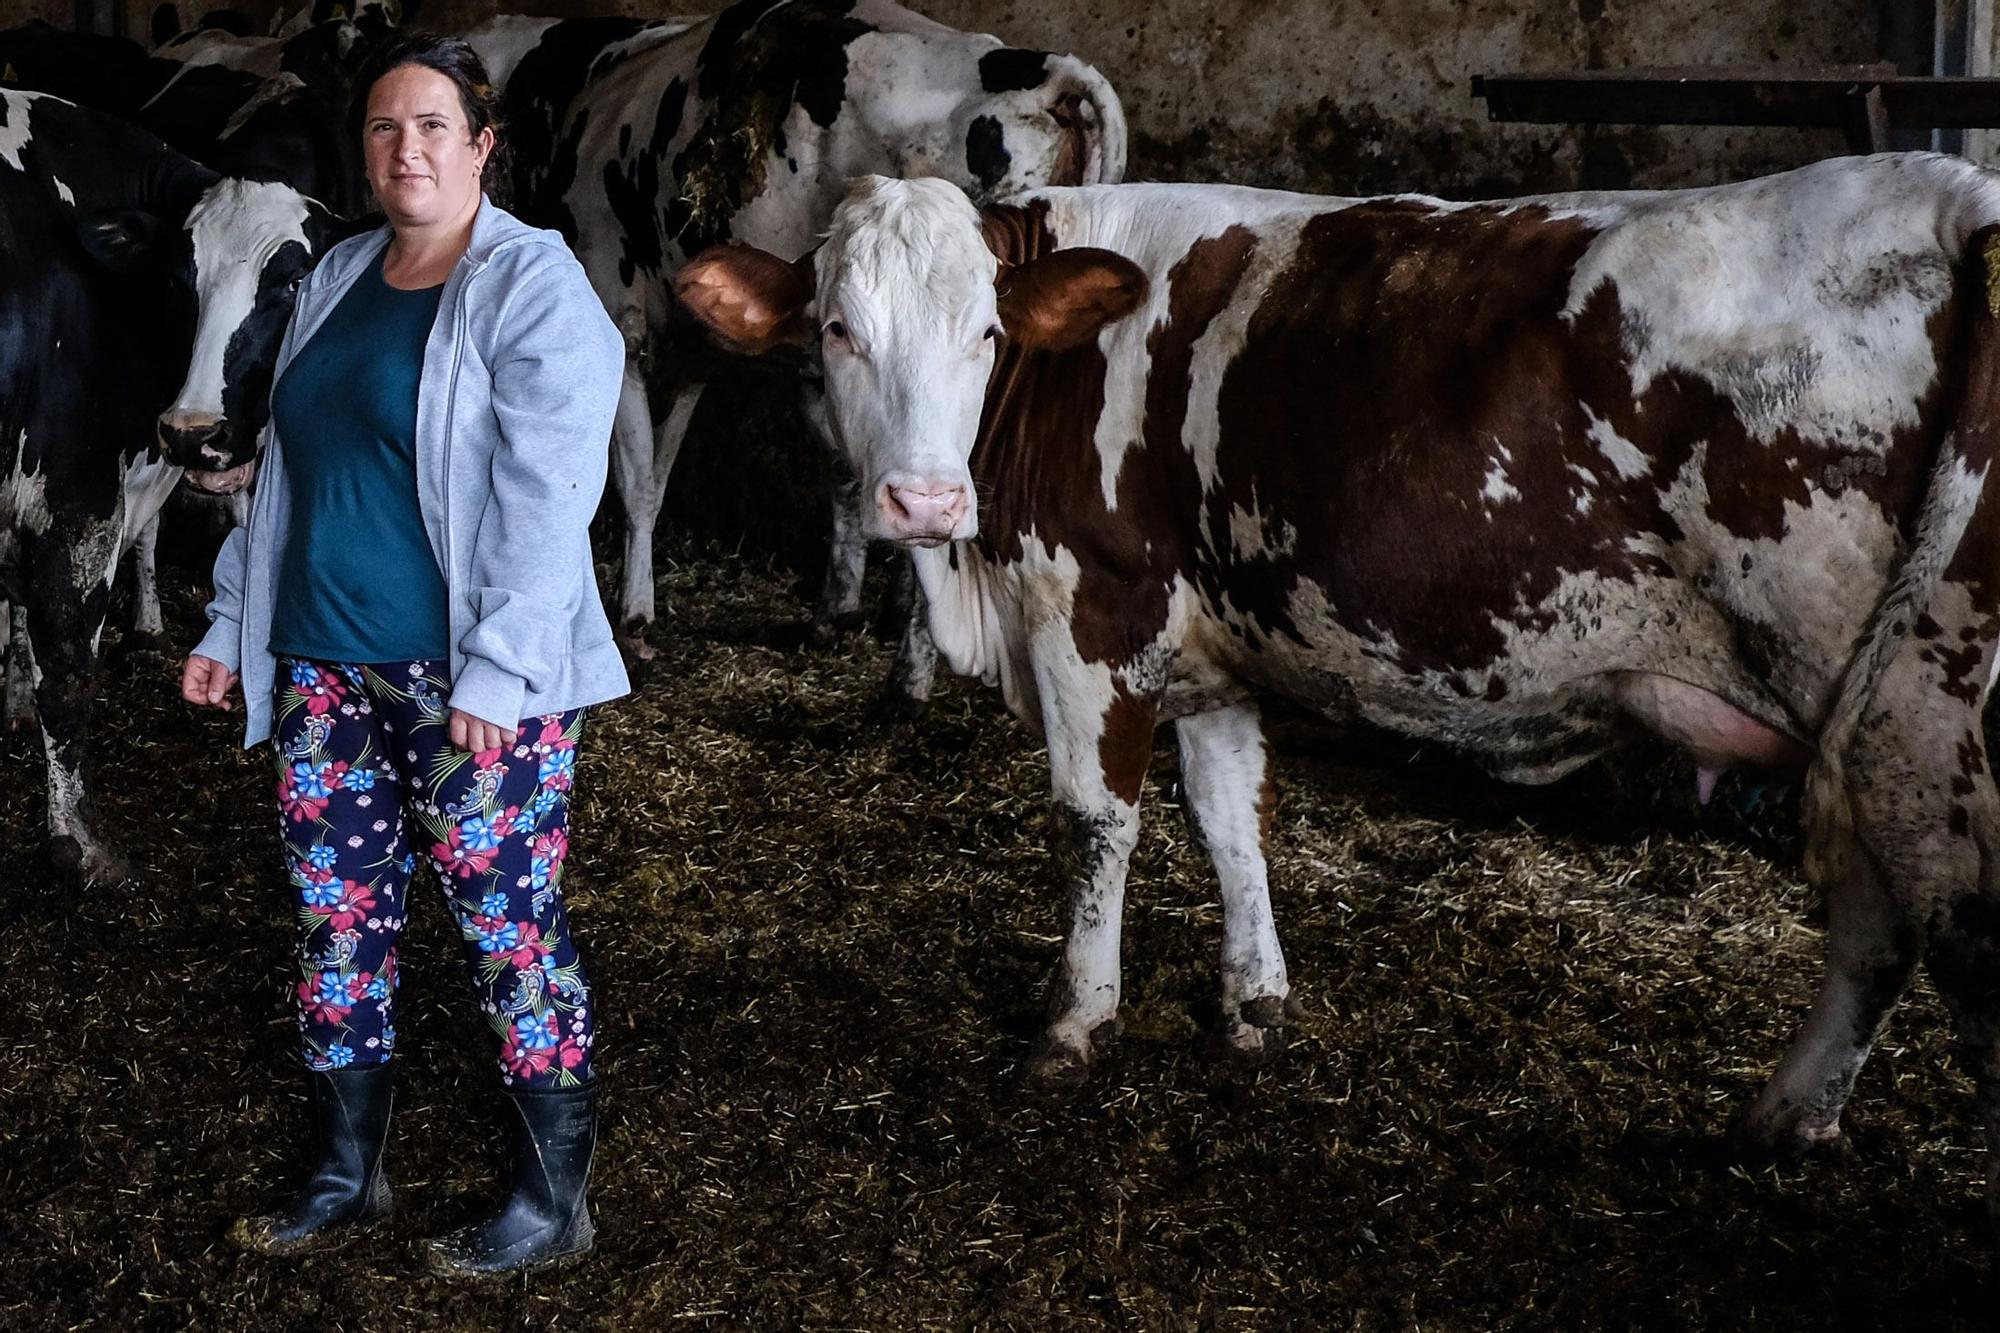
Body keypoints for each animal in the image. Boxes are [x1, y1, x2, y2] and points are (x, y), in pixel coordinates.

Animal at [0, 91, 340, 880]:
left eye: (292, 281)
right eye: (183, 279)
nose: (191, 429)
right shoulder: (77, 490)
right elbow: (67, 664)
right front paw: (78, 845)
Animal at [460, 0, 1136, 684]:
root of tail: (1042, 66)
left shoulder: (620, 325)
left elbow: (631, 482)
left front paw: (635, 618)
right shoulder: (694, 354)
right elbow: (664, 473)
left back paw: (909, 674)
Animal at [684, 161, 2000, 1232]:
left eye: (983, 331)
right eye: (836, 329)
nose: (920, 499)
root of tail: (1954, 195)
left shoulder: (1090, 613)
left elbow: (1097, 821)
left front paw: (1071, 1023)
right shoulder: (1205, 644)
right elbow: (1230, 818)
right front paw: (1253, 1004)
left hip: (1922, 716)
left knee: (1925, 920)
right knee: (1877, 924)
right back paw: (1783, 1118)